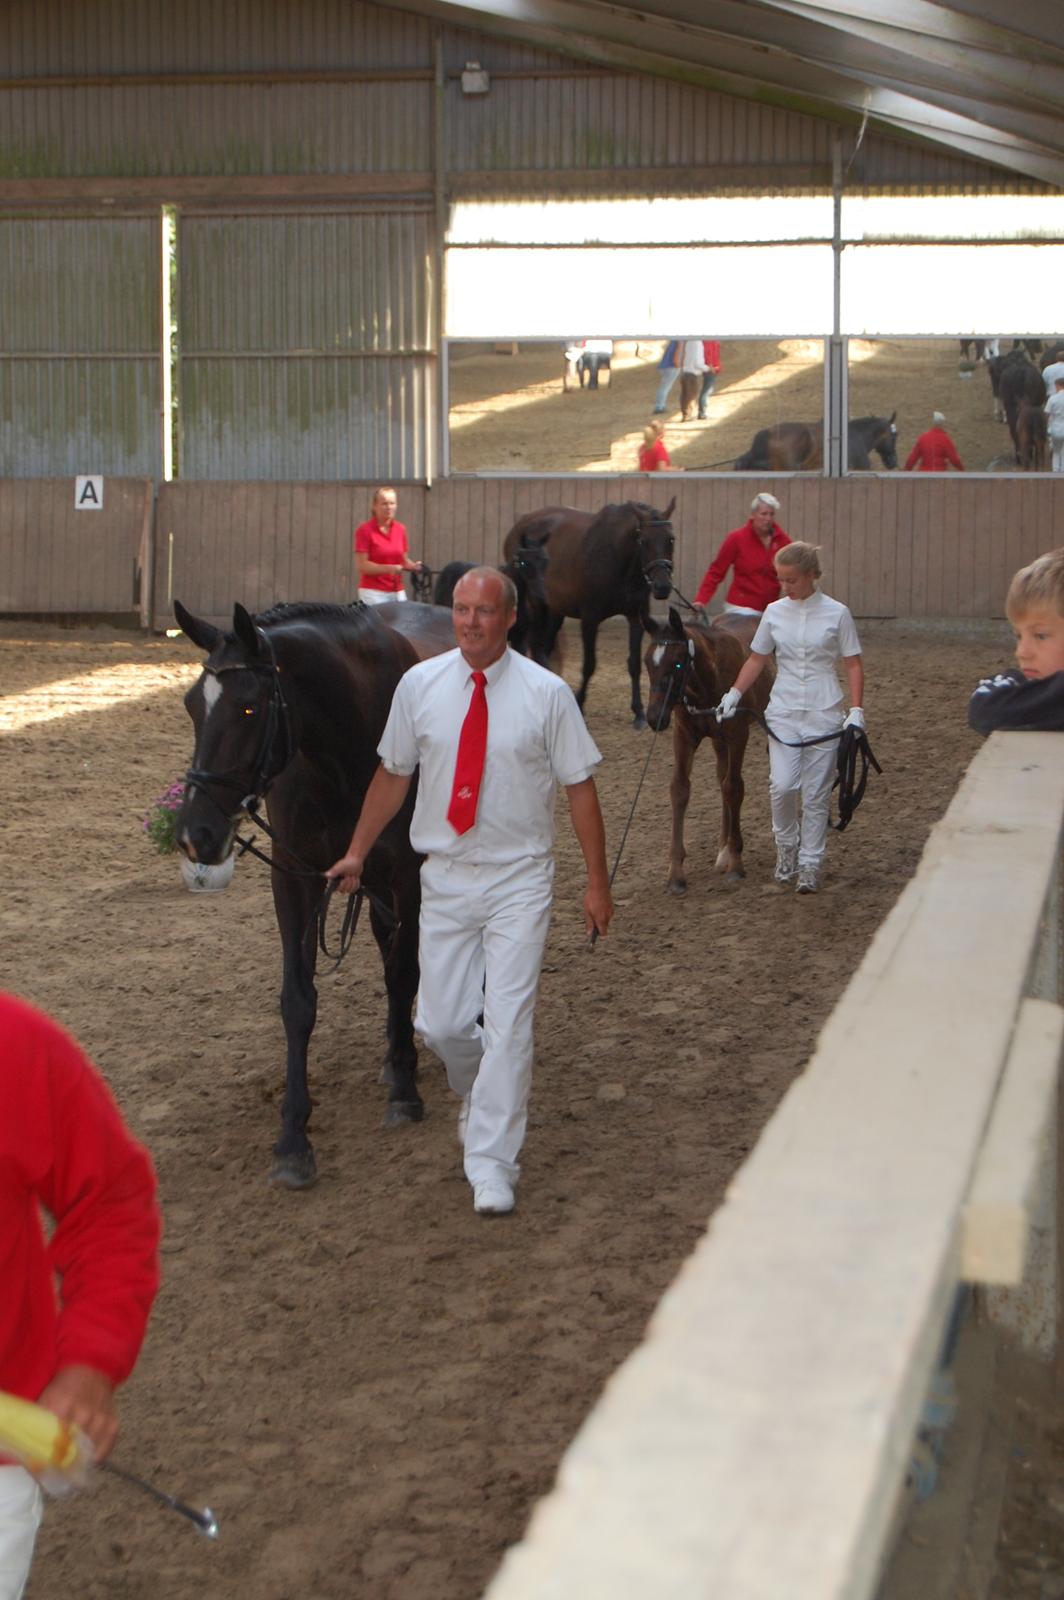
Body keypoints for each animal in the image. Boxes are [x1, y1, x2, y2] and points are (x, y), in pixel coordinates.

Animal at [173, 595, 451, 1184]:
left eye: (249, 709)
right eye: (191, 707)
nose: (195, 835)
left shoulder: (408, 872)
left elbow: (404, 973)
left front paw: (406, 1094)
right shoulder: (294, 877)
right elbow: (298, 1001)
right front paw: (293, 1140)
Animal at [502, 496, 675, 729]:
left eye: (670, 540)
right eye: (644, 541)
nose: (662, 587)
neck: (617, 557)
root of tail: (519, 526)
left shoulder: (636, 617)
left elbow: (635, 664)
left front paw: (638, 712)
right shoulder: (590, 619)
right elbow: (589, 664)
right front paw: (579, 703)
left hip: (555, 611)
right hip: (535, 607)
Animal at [640, 604, 771, 896]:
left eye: (677, 663)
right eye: (647, 663)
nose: (655, 718)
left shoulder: (738, 735)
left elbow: (734, 788)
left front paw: (736, 863)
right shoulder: (684, 736)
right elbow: (680, 789)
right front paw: (676, 874)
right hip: (718, 741)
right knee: (721, 777)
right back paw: (723, 849)